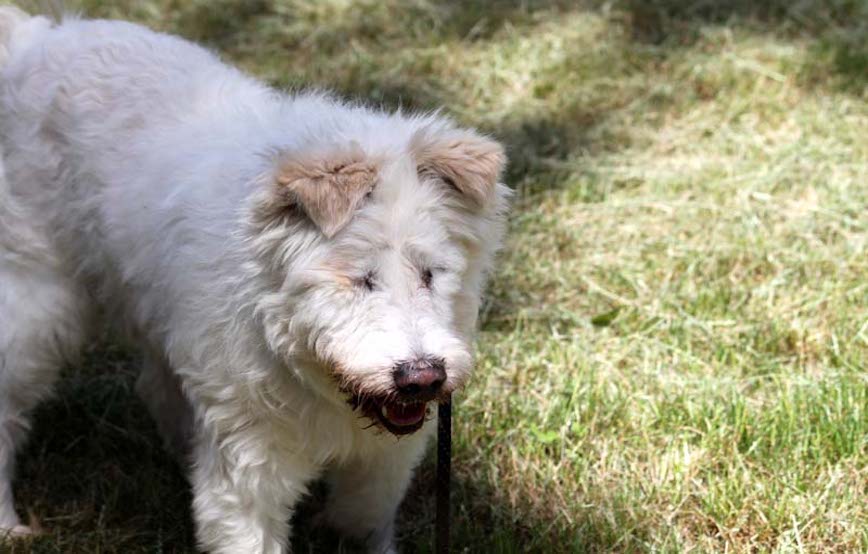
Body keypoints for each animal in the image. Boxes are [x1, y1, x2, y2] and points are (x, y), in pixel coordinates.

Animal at [0, 8, 508, 552]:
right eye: (359, 278)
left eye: (431, 273)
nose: (422, 377)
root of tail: (37, 39)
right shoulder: (251, 466)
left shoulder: (385, 454)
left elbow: (364, 514)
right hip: (36, 305)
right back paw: (9, 523)